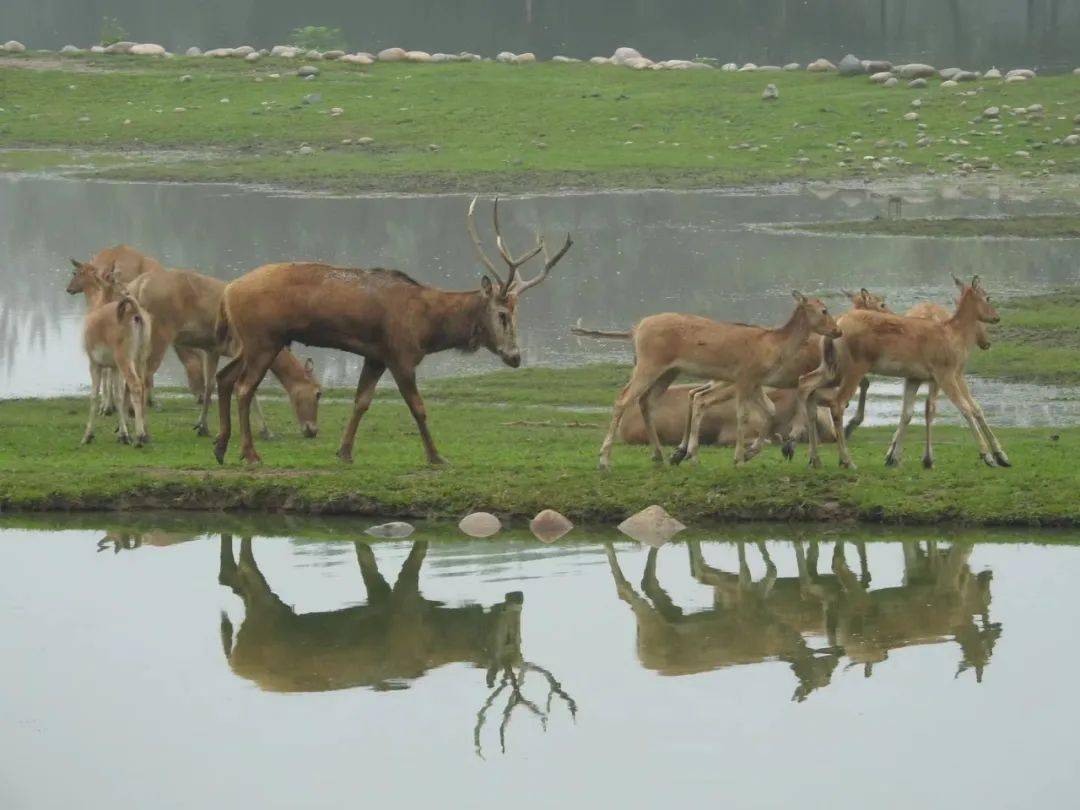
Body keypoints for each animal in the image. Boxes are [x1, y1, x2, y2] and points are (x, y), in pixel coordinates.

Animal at [214, 196, 578, 466]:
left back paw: (220, 447)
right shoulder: (401, 355)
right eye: (502, 314)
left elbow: (361, 401)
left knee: (225, 377)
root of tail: (228, 292)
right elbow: (418, 407)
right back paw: (250, 454)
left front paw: (344, 452)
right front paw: (436, 457)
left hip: (253, 341)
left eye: (517, 313)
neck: (428, 328)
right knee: (244, 386)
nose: (515, 356)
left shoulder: (375, 356)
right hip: (263, 338)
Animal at [596, 291, 838, 468]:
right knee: (623, 398)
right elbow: (743, 415)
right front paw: (739, 458)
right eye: (824, 310)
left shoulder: (756, 381)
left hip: (668, 372)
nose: (838, 330)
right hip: (649, 364)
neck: (773, 346)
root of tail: (636, 329)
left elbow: (769, 410)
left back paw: (659, 455)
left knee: (646, 401)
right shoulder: (744, 377)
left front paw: (750, 453)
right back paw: (604, 460)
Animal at [799, 278, 1006, 468]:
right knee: (837, 403)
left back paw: (814, 458)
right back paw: (846, 460)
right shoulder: (945, 372)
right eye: (987, 297)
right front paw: (988, 456)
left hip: (831, 367)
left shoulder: (915, 377)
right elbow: (966, 408)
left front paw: (895, 457)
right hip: (853, 367)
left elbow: (907, 413)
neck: (956, 336)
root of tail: (837, 326)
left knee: (807, 385)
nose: (997, 317)